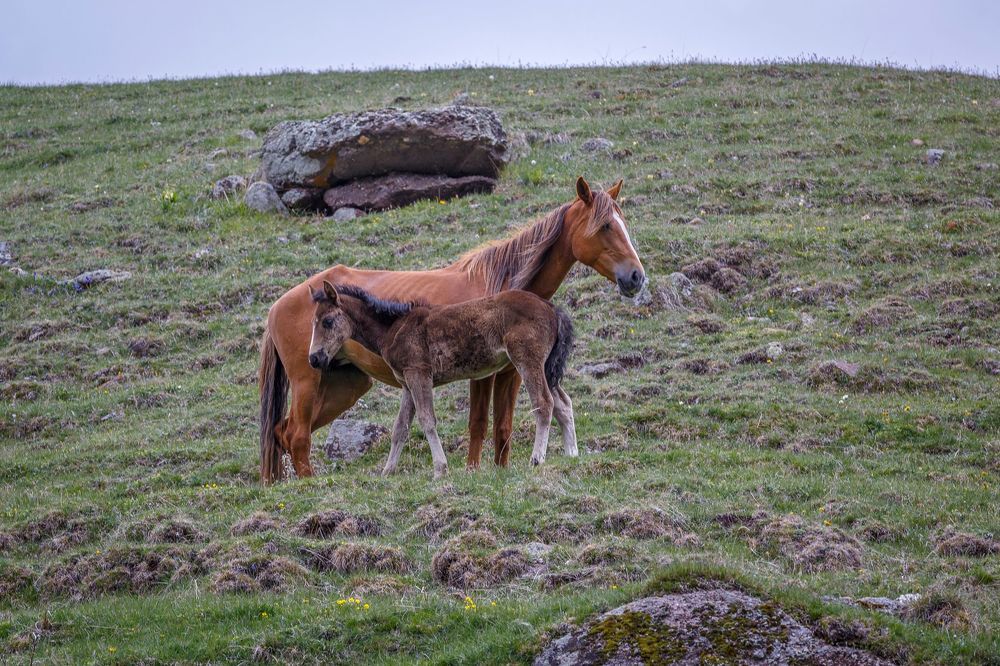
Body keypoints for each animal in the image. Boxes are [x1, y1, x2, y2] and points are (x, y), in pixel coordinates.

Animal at [306, 282, 576, 478]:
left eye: (328, 321)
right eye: (313, 322)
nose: (314, 358)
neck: (393, 328)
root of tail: (552, 309)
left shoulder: (419, 374)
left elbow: (427, 420)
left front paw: (440, 469)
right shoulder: (407, 384)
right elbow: (400, 427)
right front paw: (387, 472)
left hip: (527, 359)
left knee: (544, 403)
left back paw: (537, 458)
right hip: (545, 366)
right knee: (563, 403)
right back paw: (571, 454)